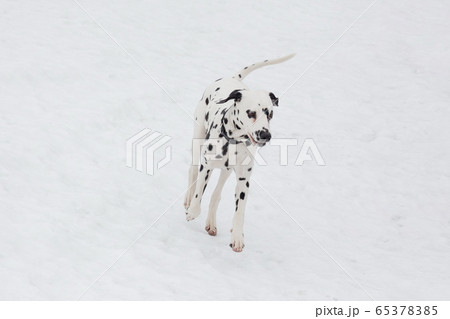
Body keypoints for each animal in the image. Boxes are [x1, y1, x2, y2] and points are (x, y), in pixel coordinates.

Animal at [184, 53, 296, 252]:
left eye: (270, 114)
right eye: (251, 113)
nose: (266, 135)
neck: (233, 141)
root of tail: (233, 78)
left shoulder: (244, 181)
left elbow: (240, 211)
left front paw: (237, 236)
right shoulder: (206, 166)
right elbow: (199, 195)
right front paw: (193, 210)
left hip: (227, 171)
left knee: (216, 194)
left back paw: (211, 223)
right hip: (197, 141)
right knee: (192, 171)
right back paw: (188, 199)